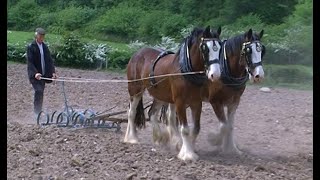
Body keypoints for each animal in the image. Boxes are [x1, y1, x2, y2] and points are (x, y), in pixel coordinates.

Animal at [125, 26, 222, 161]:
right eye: (204, 48)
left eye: (220, 47)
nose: (215, 74)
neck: (186, 71)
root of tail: (137, 53)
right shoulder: (180, 102)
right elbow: (185, 129)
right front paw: (187, 154)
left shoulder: (197, 102)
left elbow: (196, 128)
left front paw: (186, 147)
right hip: (135, 90)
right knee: (132, 112)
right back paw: (131, 138)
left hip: (160, 95)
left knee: (152, 113)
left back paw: (160, 137)